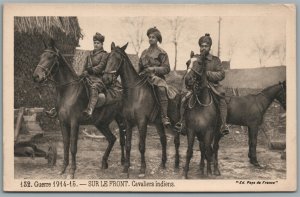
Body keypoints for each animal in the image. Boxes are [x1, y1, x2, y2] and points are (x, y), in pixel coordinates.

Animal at [32, 40, 126, 179]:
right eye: (41, 56)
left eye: (51, 57)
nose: (36, 76)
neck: (68, 90)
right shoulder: (63, 123)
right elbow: (65, 145)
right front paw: (63, 169)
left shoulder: (74, 123)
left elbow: (73, 147)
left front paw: (72, 172)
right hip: (101, 123)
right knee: (112, 139)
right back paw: (104, 163)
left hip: (121, 120)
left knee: (123, 139)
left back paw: (124, 162)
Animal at [102, 42, 182, 177]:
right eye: (108, 58)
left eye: (118, 59)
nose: (106, 79)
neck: (135, 93)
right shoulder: (128, 123)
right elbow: (128, 145)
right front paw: (126, 167)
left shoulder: (142, 123)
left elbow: (142, 146)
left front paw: (142, 169)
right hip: (158, 123)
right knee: (164, 140)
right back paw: (162, 164)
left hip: (174, 122)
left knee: (176, 140)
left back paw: (176, 165)